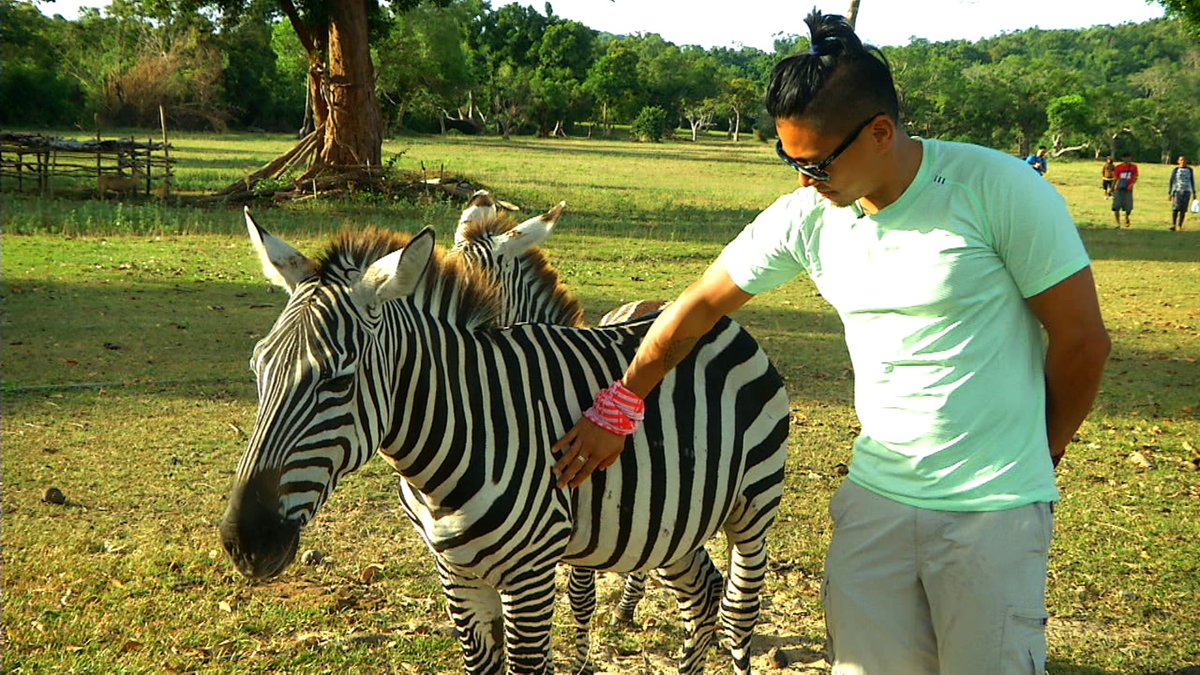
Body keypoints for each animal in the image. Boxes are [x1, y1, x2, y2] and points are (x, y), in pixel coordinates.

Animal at [219, 209, 790, 674]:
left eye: (338, 381)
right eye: (257, 369)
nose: (245, 542)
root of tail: (712, 317)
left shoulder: (533, 571)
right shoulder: (457, 573)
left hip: (753, 507)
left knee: (739, 613)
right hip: (670, 523)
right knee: (702, 593)